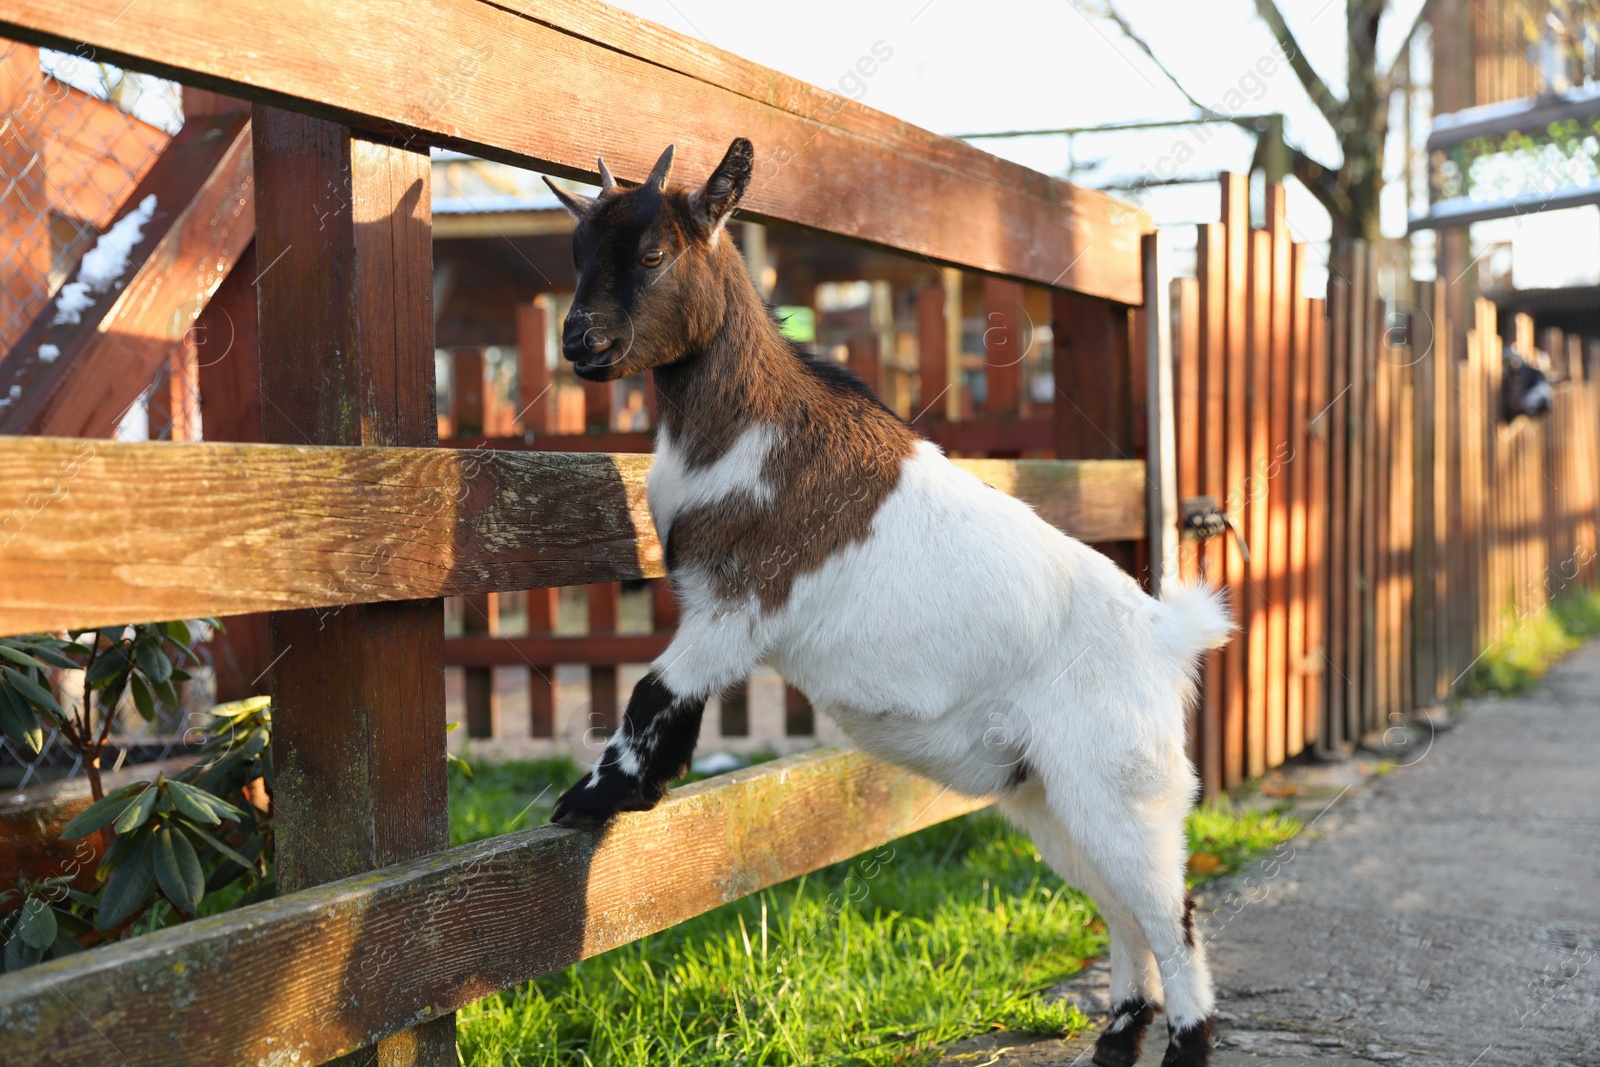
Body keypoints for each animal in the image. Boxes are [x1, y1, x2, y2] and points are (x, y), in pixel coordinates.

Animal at [544, 141, 1228, 1067]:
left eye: (653, 253)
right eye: (577, 251)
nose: (582, 340)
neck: (749, 428)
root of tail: (1165, 636)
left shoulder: (741, 605)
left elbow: (653, 689)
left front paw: (593, 795)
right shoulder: (712, 610)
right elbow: (674, 701)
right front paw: (645, 786)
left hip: (1123, 780)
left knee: (1172, 911)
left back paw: (1183, 1044)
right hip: (1050, 791)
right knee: (1122, 910)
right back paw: (1118, 1036)